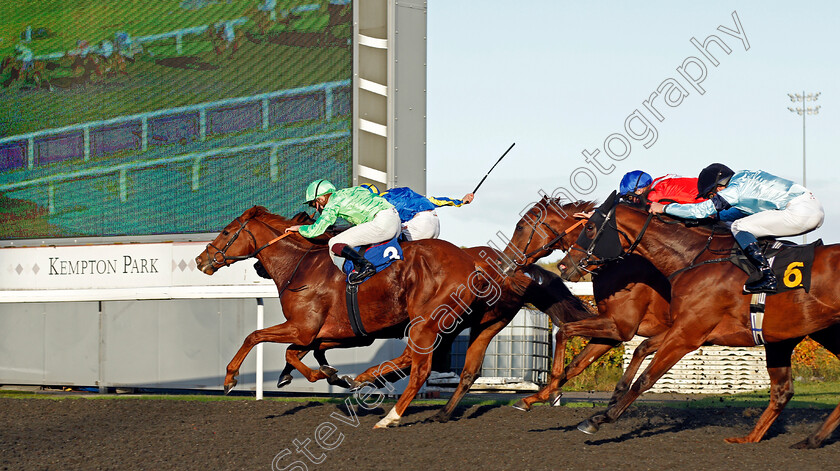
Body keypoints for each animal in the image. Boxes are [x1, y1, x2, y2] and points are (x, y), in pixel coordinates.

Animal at [196, 206, 520, 428]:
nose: (201, 260)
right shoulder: (332, 333)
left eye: (226, 232)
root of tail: (472, 261)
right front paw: (326, 375)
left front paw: (230, 378)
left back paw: (389, 414)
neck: (300, 266)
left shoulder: (302, 328)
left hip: (426, 322)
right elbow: (297, 353)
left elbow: (256, 336)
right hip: (475, 324)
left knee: (420, 368)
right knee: (460, 369)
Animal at [560, 196, 840, 450]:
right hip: (807, 334)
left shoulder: (686, 335)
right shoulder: (684, 328)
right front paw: (611, 397)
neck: (693, 258)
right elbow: (642, 349)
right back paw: (795, 439)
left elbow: (646, 379)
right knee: (783, 391)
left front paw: (599, 418)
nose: (564, 266)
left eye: (590, 227)